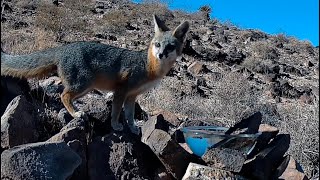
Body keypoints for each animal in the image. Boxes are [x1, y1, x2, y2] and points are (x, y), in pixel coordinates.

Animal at [1, 14, 189, 134]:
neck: (148, 67)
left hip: (86, 88)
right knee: (63, 95)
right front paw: (115, 125)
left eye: (170, 47)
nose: (161, 54)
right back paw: (76, 113)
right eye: (157, 44)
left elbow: (129, 115)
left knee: (66, 95)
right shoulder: (121, 91)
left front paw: (134, 128)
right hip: (83, 84)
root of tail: (63, 47)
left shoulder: (132, 96)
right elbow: (116, 111)